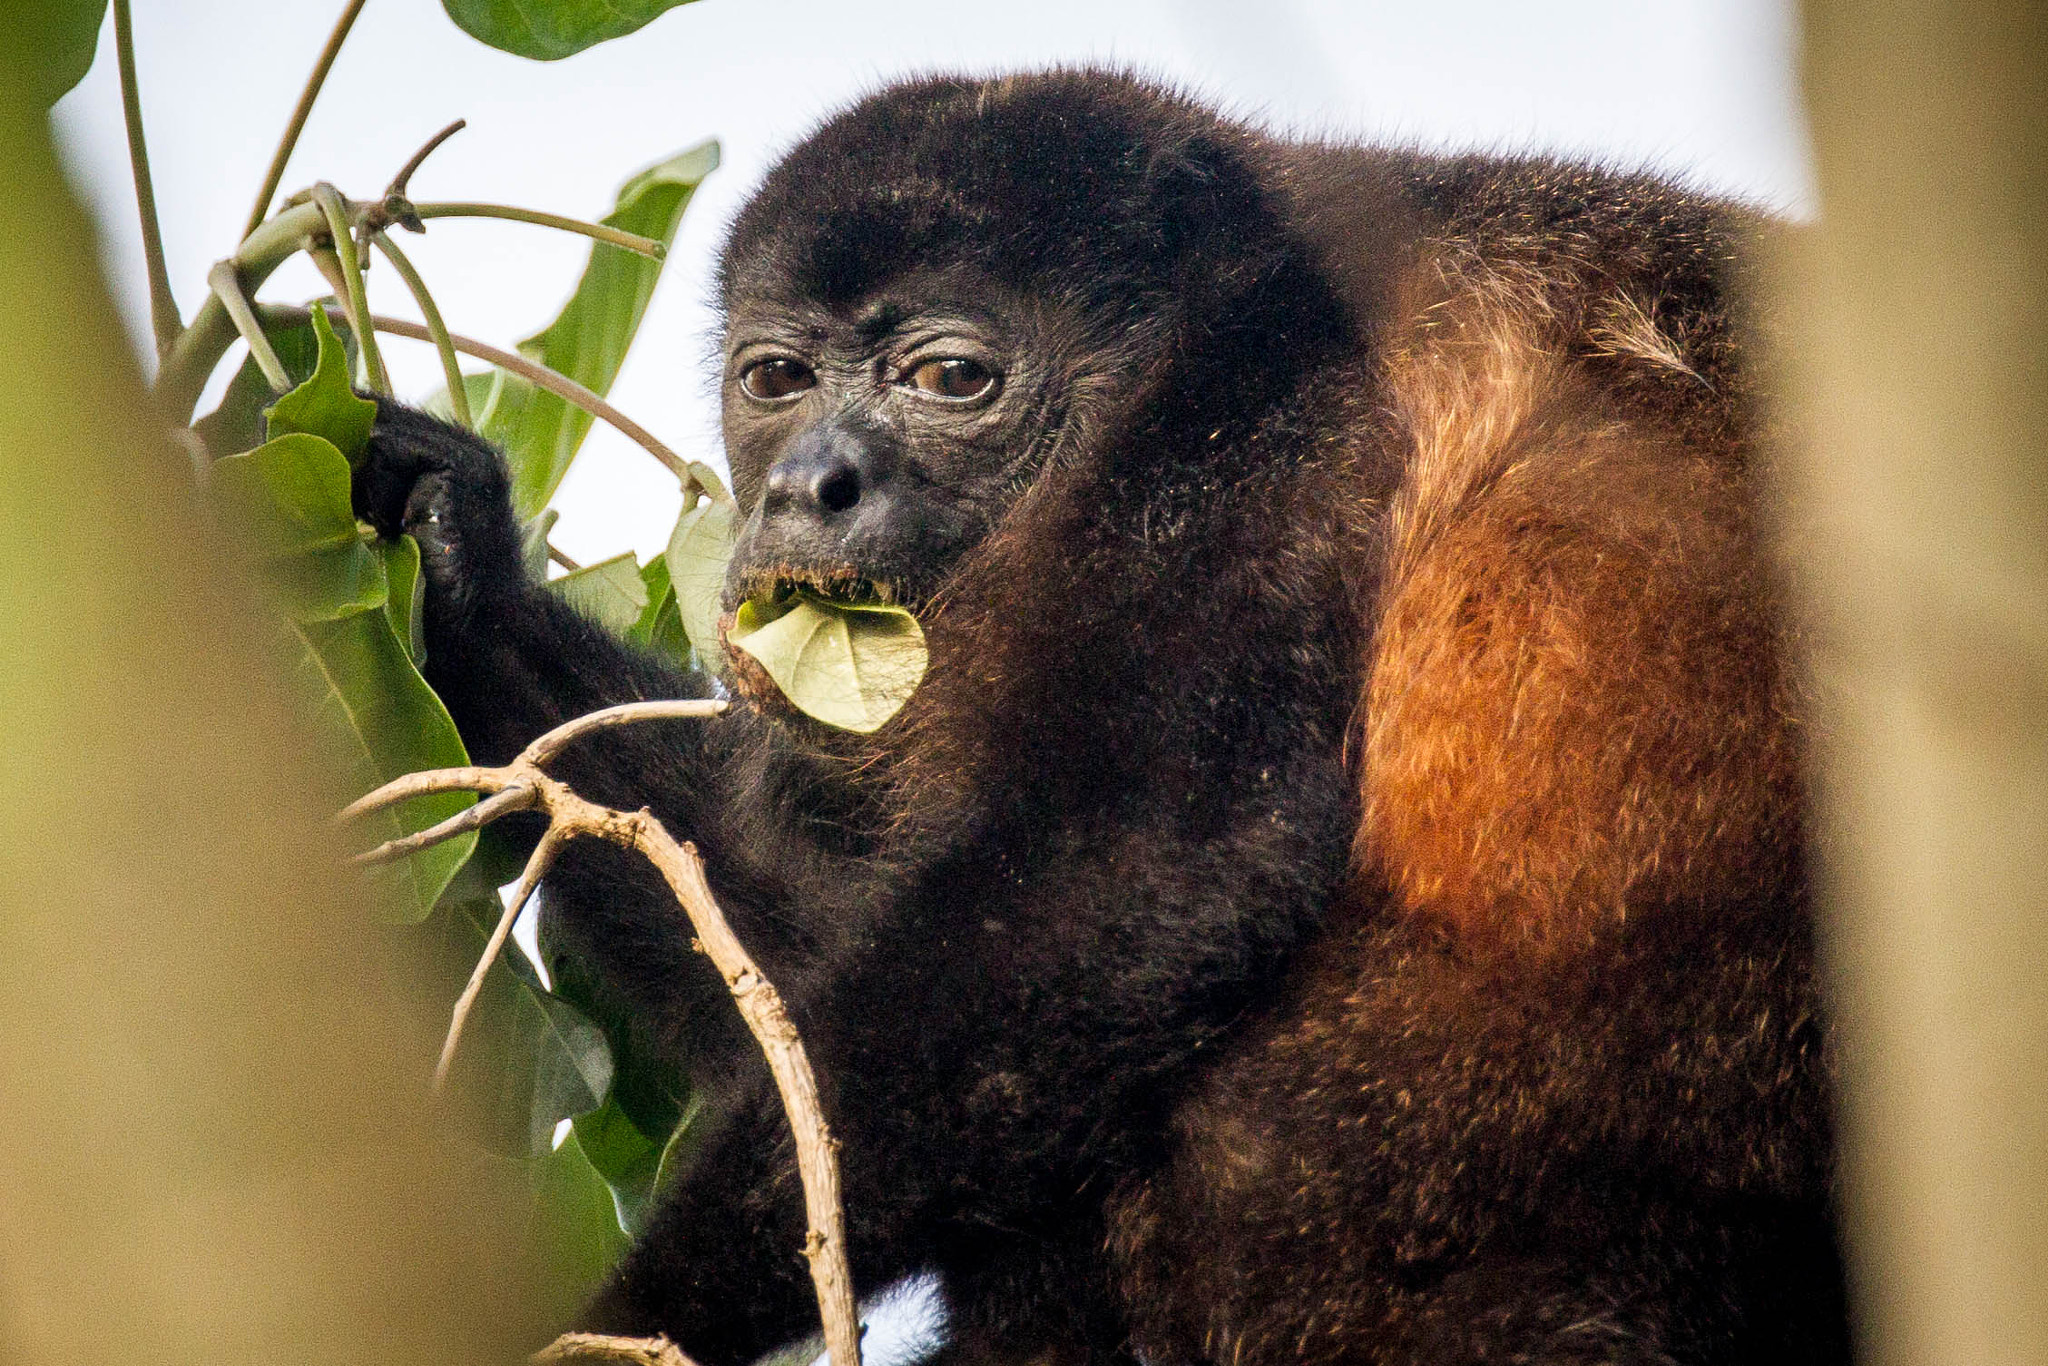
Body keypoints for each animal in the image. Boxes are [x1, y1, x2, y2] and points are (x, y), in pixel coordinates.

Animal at [360, 72, 1851, 1366]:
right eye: (774, 380)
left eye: (950, 378)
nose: (805, 486)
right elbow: (797, 962)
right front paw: (460, 562)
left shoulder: (1256, 426)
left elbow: (1130, 879)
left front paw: (621, 1315)